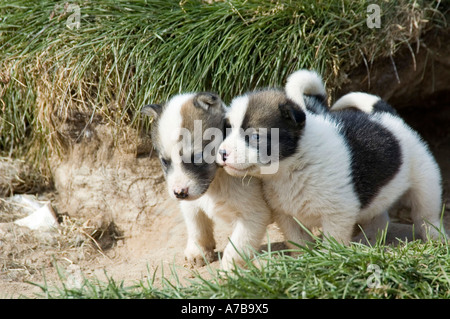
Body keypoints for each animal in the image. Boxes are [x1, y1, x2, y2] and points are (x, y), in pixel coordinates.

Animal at [142, 92, 272, 270]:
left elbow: (235, 247)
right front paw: (199, 251)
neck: (216, 181)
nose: (179, 193)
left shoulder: (254, 216)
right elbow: (197, 228)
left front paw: (230, 271)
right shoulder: (191, 205)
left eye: (197, 157)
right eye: (165, 161)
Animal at [216, 70, 444, 248]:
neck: (293, 165)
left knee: (426, 215)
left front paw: (329, 257)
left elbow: (332, 243)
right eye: (228, 129)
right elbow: (297, 241)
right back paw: (369, 241)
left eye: (255, 136)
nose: (222, 153)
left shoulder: (337, 215)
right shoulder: (285, 215)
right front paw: (304, 259)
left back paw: (436, 238)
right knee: (380, 218)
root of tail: (386, 116)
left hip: (425, 181)